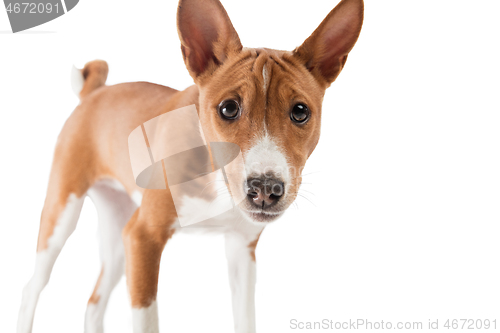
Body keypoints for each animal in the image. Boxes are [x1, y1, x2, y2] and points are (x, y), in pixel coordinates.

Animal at [17, 0, 364, 332]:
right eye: (228, 108)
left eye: (300, 112)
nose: (266, 189)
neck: (215, 178)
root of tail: (95, 92)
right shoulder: (142, 238)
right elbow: (147, 321)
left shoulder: (241, 249)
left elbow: (245, 320)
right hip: (62, 218)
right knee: (32, 287)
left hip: (117, 236)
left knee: (93, 303)